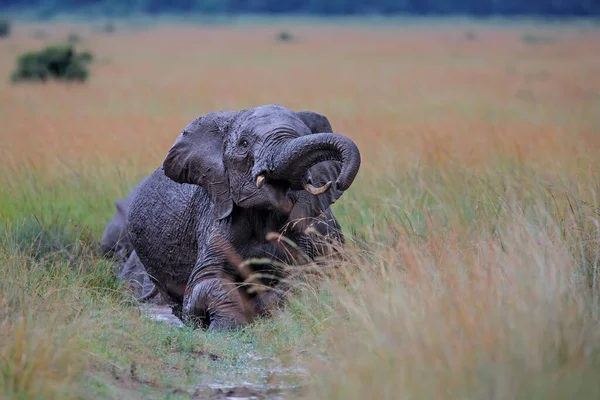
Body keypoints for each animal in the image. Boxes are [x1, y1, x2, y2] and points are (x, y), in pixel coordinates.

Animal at [125, 104, 360, 332]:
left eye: (304, 135)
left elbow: (303, 277)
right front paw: (224, 328)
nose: (338, 182)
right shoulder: (216, 218)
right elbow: (208, 280)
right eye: (244, 143)